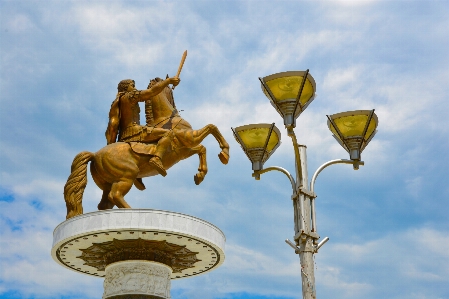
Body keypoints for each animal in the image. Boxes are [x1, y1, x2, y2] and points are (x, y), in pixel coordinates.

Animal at [63, 83, 229, 219]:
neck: (167, 119)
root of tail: (94, 155)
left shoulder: (183, 151)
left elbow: (202, 149)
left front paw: (200, 175)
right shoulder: (190, 138)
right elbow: (211, 128)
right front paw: (225, 154)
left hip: (108, 183)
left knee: (105, 203)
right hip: (127, 175)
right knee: (115, 195)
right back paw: (132, 211)